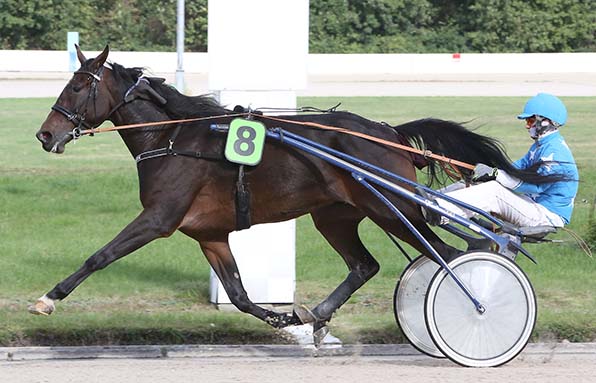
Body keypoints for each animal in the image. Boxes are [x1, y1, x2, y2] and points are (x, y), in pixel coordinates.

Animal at [31, 45, 556, 340]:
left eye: (77, 86)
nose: (45, 134)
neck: (174, 137)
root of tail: (390, 133)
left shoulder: (160, 219)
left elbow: (99, 256)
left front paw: (48, 298)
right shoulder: (210, 235)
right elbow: (239, 295)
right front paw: (286, 322)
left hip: (394, 208)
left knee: (452, 254)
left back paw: (478, 304)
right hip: (336, 215)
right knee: (368, 265)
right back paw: (318, 315)